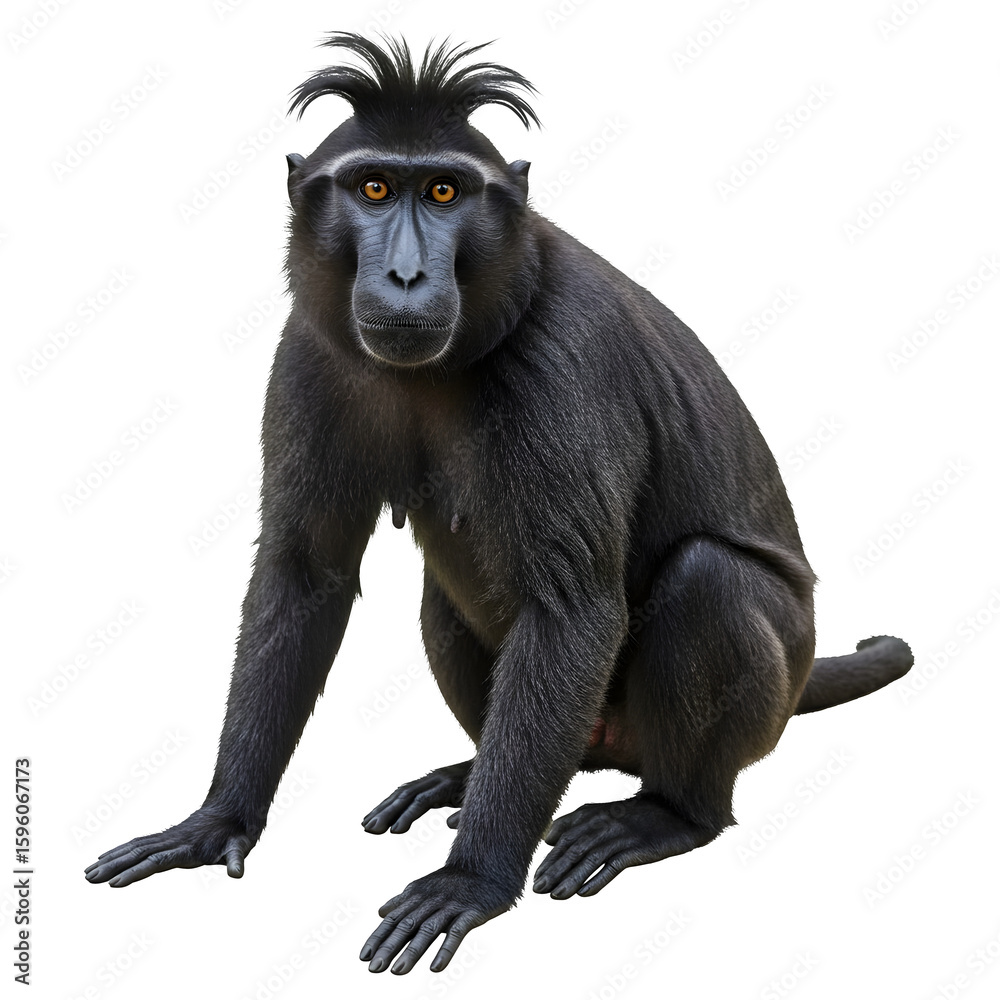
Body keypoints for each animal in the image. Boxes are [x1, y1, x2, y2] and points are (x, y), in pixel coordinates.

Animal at [85, 33, 914, 976]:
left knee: (710, 583)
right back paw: (466, 771)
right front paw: (218, 818)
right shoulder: (310, 353)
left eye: (444, 192)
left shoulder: (562, 361)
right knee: (445, 600)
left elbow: (572, 613)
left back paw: (667, 814)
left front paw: (471, 881)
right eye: (374, 188)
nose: (408, 274)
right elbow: (305, 574)